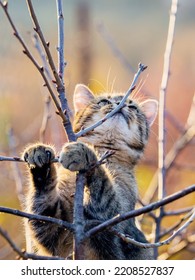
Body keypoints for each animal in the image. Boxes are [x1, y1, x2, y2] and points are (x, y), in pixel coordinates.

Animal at [22, 83, 158, 260]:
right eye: (104, 101)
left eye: (132, 107)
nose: (120, 105)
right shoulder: (54, 233)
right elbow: (42, 206)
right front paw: (39, 154)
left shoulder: (114, 216)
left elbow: (101, 180)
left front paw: (83, 153)